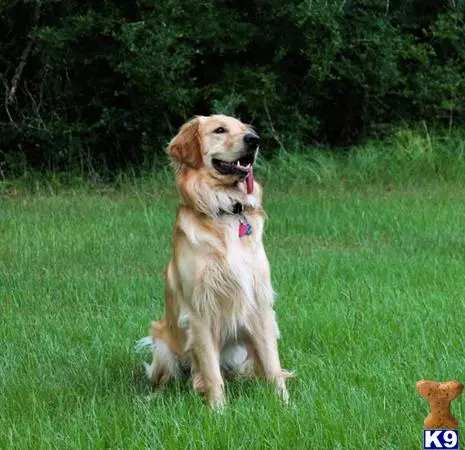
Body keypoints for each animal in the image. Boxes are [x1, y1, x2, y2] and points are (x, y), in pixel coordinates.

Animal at [136, 114, 292, 410]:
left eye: (245, 128)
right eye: (220, 130)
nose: (254, 140)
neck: (227, 211)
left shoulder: (260, 303)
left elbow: (272, 365)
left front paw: (285, 404)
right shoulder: (199, 311)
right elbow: (211, 371)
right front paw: (218, 411)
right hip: (161, 342)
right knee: (168, 378)